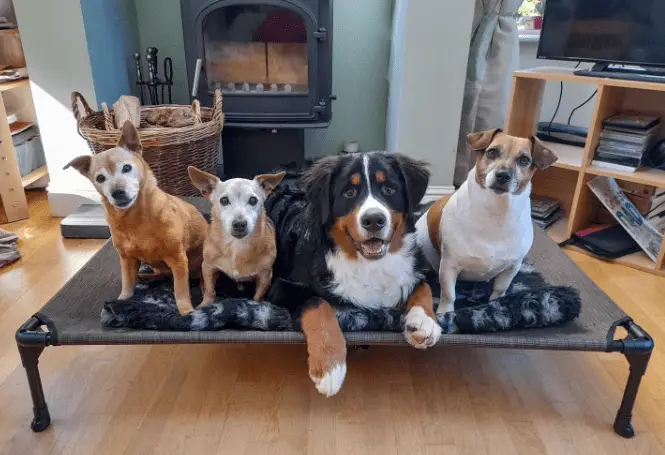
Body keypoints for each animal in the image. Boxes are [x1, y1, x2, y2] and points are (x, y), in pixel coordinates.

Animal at [65, 121, 206, 316]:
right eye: (100, 178)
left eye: (126, 168)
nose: (117, 192)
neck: (135, 218)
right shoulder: (127, 260)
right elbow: (127, 283)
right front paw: (122, 301)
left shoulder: (178, 260)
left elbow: (180, 291)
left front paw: (186, 312)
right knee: (161, 274)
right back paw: (147, 277)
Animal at [264, 152, 440, 396]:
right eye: (349, 192)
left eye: (389, 189)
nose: (374, 220)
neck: (368, 265)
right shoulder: (282, 286)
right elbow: (318, 304)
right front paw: (330, 367)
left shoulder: (418, 266)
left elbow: (423, 285)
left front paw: (423, 322)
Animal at [416, 128, 556, 314]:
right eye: (492, 152)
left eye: (524, 160)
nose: (503, 175)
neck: (496, 211)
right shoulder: (449, 266)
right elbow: (449, 294)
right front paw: (445, 313)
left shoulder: (513, 267)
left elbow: (500, 289)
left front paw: (495, 304)